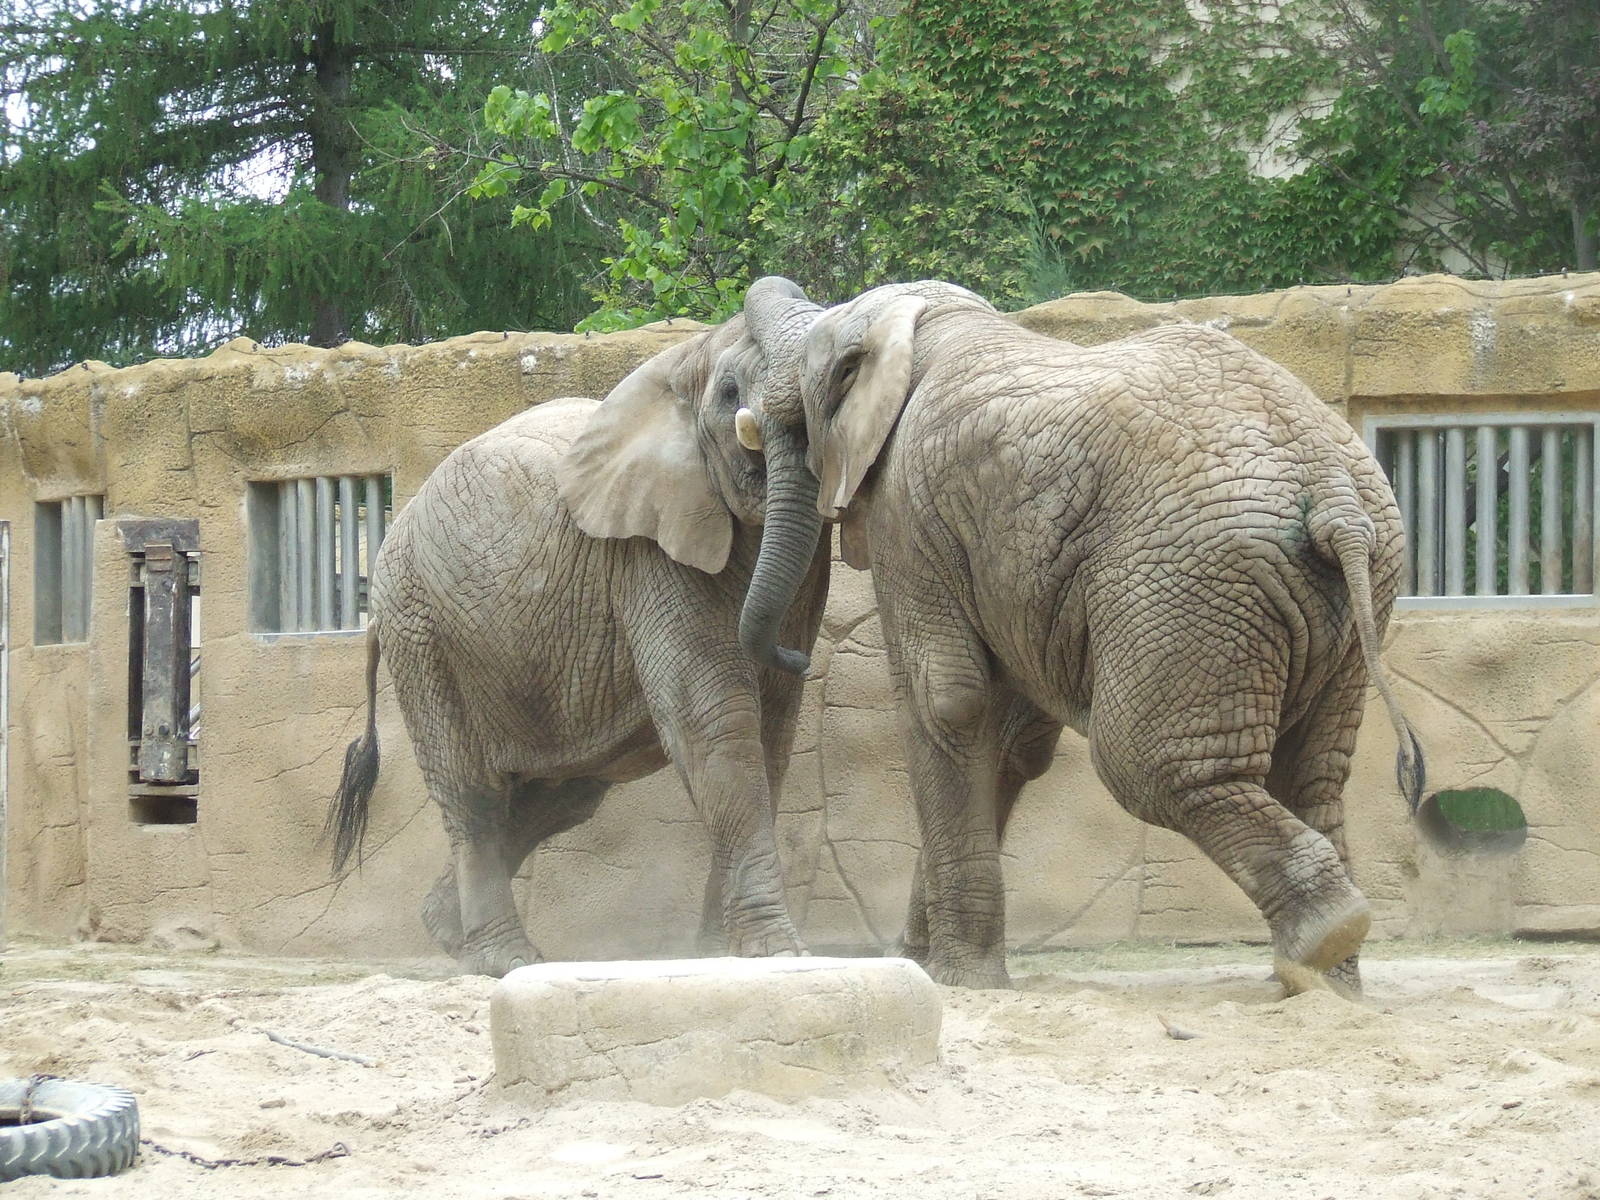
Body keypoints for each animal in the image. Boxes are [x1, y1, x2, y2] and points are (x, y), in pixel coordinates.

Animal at [324, 300, 831, 976]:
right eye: (730, 394)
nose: (798, 655)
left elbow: (771, 738)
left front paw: (723, 955)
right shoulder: (649, 552)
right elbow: (715, 723)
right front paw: (777, 953)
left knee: (560, 796)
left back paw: (447, 930)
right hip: (420, 629)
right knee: (474, 794)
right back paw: (506, 959)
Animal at [733, 275, 1424, 993]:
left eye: (794, 417)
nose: (795, 656)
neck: (927, 322)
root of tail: (1336, 496)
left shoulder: (910, 513)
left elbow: (947, 698)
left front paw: (959, 981)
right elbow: (1007, 736)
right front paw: (927, 964)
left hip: (1187, 580)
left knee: (1148, 765)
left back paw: (1325, 937)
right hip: (1353, 587)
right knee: (1313, 770)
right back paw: (1326, 983)